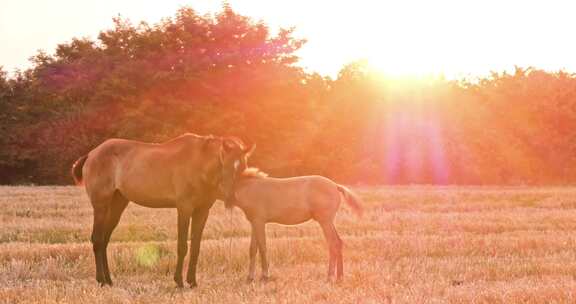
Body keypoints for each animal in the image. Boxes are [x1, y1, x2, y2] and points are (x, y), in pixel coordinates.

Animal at [71, 133, 253, 288]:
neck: (199, 162)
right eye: (225, 165)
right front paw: (179, 281)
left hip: (117, 204)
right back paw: (101, 280)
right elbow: (182, 246)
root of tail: (91, 154)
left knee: (104, 240)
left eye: (243, 166)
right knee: (97, 239)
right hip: (101, 206)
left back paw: (109, 280)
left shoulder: (202, 211)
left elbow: (196, 247)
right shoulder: (184, 208)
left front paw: (192, 282)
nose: (231, 198)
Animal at [223, 167, 362, 282]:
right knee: (338, 242)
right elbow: (253, 248)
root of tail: (335, 185)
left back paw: (330, 277)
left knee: (333, 243)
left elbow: (262, 247)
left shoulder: (259, 222)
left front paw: (264, 276)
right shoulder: (255, 223)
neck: (251, 188)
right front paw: (250, 278)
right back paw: (340, 277)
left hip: (325, 222)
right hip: (328, 222)